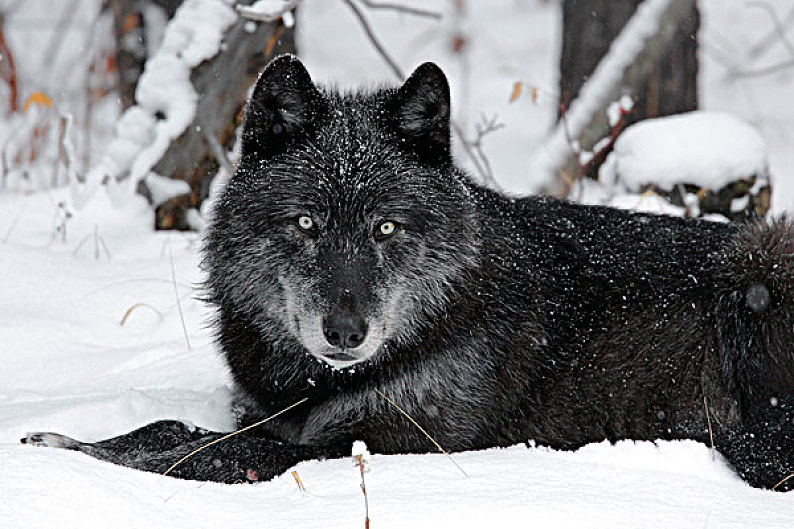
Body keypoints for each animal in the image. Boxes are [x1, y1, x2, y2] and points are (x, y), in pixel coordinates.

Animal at [23, 55, 792, 488]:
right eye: (307, 224)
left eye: (385, 228)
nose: (345, 332)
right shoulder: (266, 411)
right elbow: (170, 429)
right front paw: (63, 440)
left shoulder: (383, 444)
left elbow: (202, 449)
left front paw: (70, 453)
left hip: (763, 262)